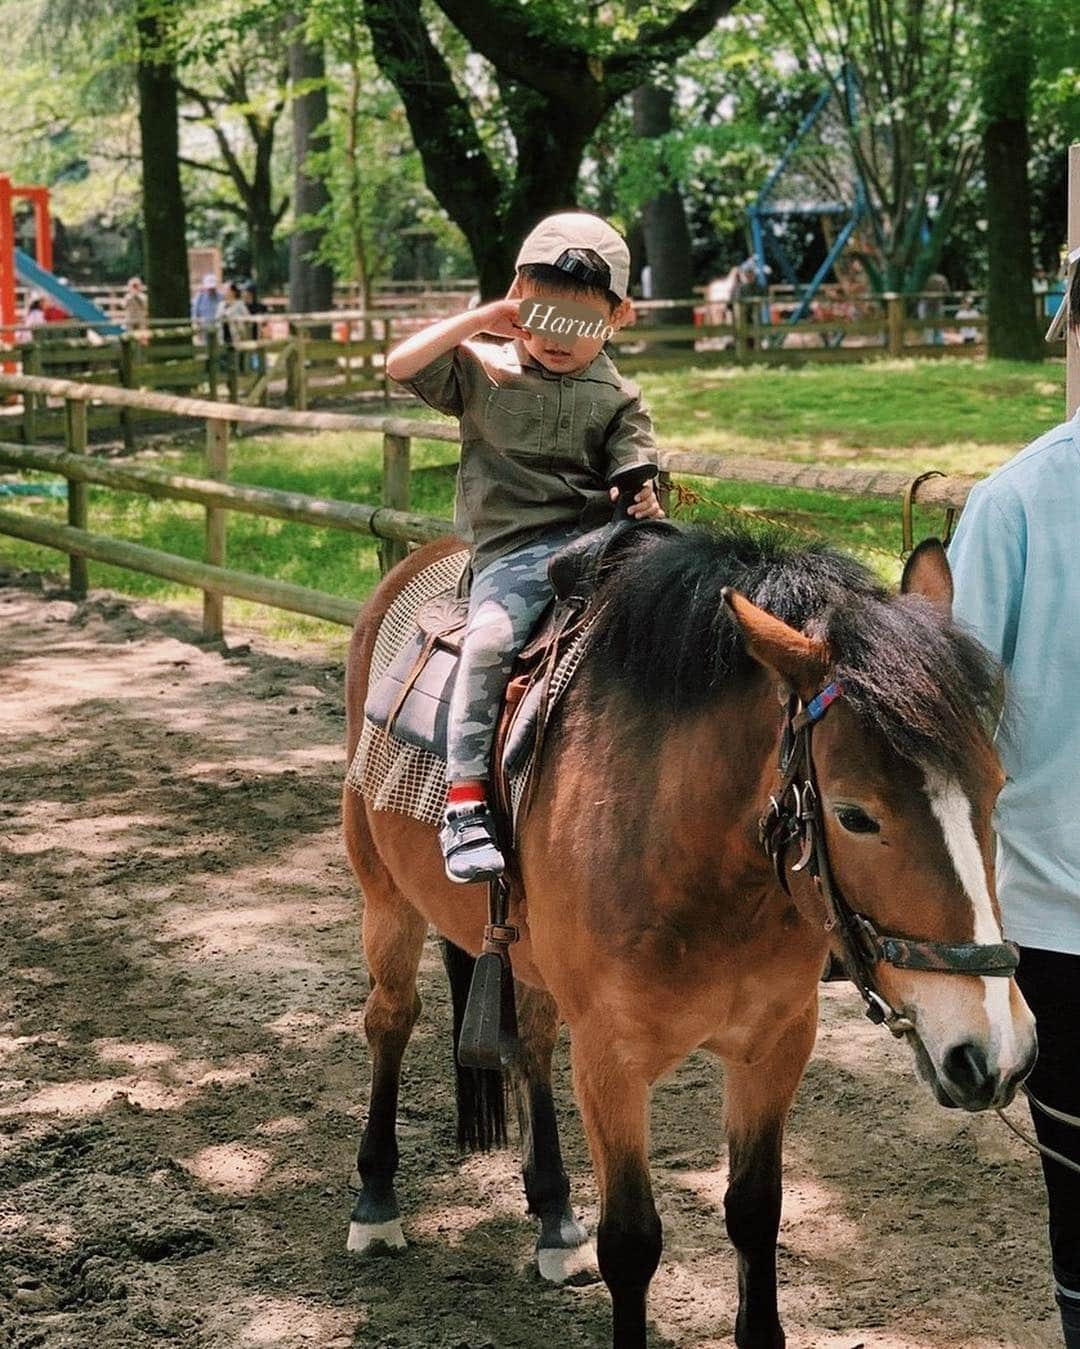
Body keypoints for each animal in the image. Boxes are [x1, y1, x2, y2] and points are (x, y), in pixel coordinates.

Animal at [341, 523, 1030, 1349]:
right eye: (856, 815)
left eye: (996, 788)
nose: (996, 1052)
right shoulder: (610, 1060)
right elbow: (633, 1241)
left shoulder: (776, 1044)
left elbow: (756, 1212)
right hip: (386, 899)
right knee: (391, 1019)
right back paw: (376, 1201)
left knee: (530, 1040)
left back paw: (553, 1215)